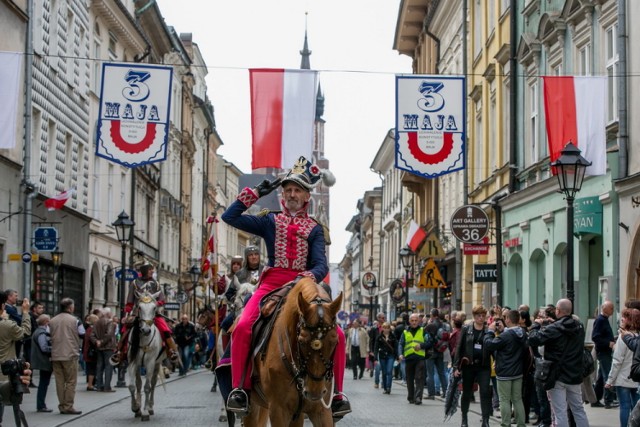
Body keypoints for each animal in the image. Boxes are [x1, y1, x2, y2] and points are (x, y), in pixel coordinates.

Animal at [127, 290, 166, 422]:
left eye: (154, 308)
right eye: (139, 307)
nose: (146, 330)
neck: (144, 340)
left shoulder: (150, 363)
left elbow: (147, 387)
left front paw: (144, 411)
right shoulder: (133, 362)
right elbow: (132, 386)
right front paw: (135, 408)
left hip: (157, 364)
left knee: (153, 384)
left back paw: (150, 407)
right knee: (138, 384)